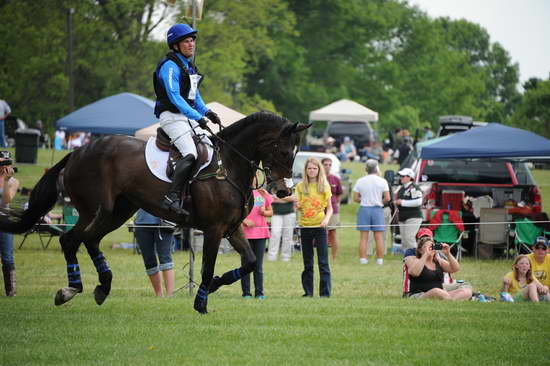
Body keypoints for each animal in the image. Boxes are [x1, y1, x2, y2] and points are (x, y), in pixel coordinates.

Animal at [0, 111, 310, 312]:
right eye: (284, 152)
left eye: (295, 154)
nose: (284, 192)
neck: (229, 166)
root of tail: (79, 152)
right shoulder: (213, 230)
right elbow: (208, 267)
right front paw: (201, 302)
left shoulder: (231, 230)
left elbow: (249, 262)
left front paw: (215, 286)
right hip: (96, 209)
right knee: (71, 240)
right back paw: (71, 289)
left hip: (118, 211)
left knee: (89, 240)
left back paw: (101, 287)